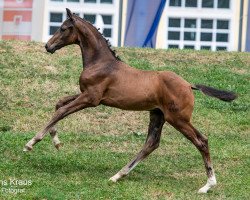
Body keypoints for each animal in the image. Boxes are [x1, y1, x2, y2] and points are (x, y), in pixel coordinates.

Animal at [24, 8, 237, 193]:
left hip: (178, 119)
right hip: (157, 114)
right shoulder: (87, 95)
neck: (101, 63)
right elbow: (59, 103)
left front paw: (31, 143)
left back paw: (208, 185)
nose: (48, 46)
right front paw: (56, 142)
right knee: (151, 143)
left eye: (63, 28)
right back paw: (117, 175)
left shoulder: (91, 98)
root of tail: (188, 85)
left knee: (201, 141)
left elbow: (61, 111)